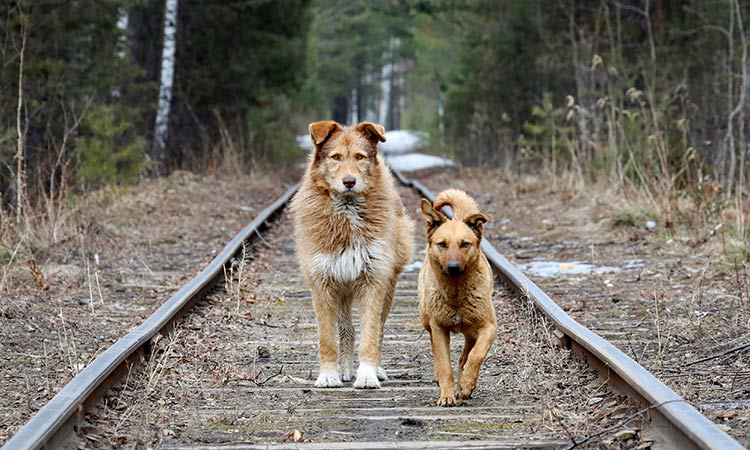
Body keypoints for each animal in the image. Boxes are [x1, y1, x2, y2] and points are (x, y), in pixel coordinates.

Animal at [290, 121, 414, 388]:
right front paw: (328, 375)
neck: (347, 212)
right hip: (343, 291)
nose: (349, 181)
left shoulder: (373, 281)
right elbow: (327, 338)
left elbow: (371, 335)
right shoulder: (323, 283)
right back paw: (345, 370)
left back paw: (375, 369)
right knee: (347, 329)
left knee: (378, 329)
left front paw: (367, 374)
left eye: (360, 157)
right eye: (336, 157)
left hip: (387, 285)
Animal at [418, 188, 500, 406]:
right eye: (442, 244)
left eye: (465, 244)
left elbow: (476, 356)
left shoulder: (488, 327)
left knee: (465, 356)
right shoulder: (439, 328)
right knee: (435, 349)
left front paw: (466, 384)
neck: (455, 293)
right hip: (426, 320)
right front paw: (447, 395)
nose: (453, 268)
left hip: (472, 331)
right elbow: (445, 365)